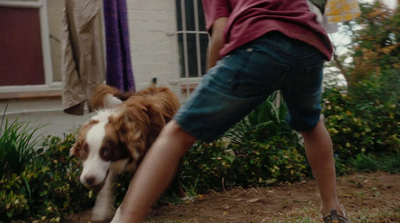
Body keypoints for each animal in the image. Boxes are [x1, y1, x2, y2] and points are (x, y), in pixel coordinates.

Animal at [70, 84, 180, 221]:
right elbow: (106, 187)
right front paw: (101, 211)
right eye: (84, 150)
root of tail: (158, 87)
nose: (89, 179)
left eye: (106, 151)